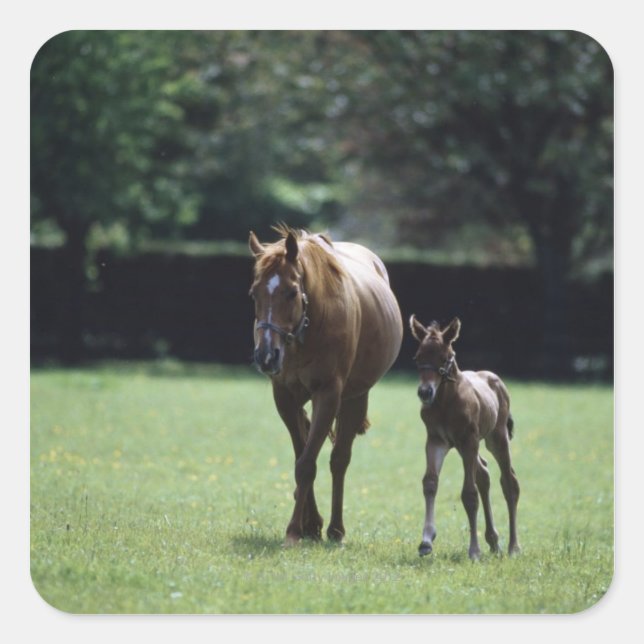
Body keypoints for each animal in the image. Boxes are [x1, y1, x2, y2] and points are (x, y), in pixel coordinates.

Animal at [249, 226, 403, 545]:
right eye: (253, 294)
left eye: (292, 292)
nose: (266, 355)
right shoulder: (284, 397)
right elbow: (301, 456)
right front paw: (306, 525)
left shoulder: (329, 395)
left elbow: (308, 464)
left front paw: (293, 531)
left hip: (355, 398)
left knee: (339, 459)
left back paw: (335, 529)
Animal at [409, 315, 520, 560]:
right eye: (418, 357)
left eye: (444, 358)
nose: (425, 392)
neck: (445, 402)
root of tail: (496, 379)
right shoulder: (436, 440)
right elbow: (430, 483)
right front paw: (426, 541)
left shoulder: (468, 440)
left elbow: (469, 494)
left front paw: (474, 551)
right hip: (465, 446)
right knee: (484, 474)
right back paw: (494, 541)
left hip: (495, 438)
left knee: (509, 482)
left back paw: (513, 548)